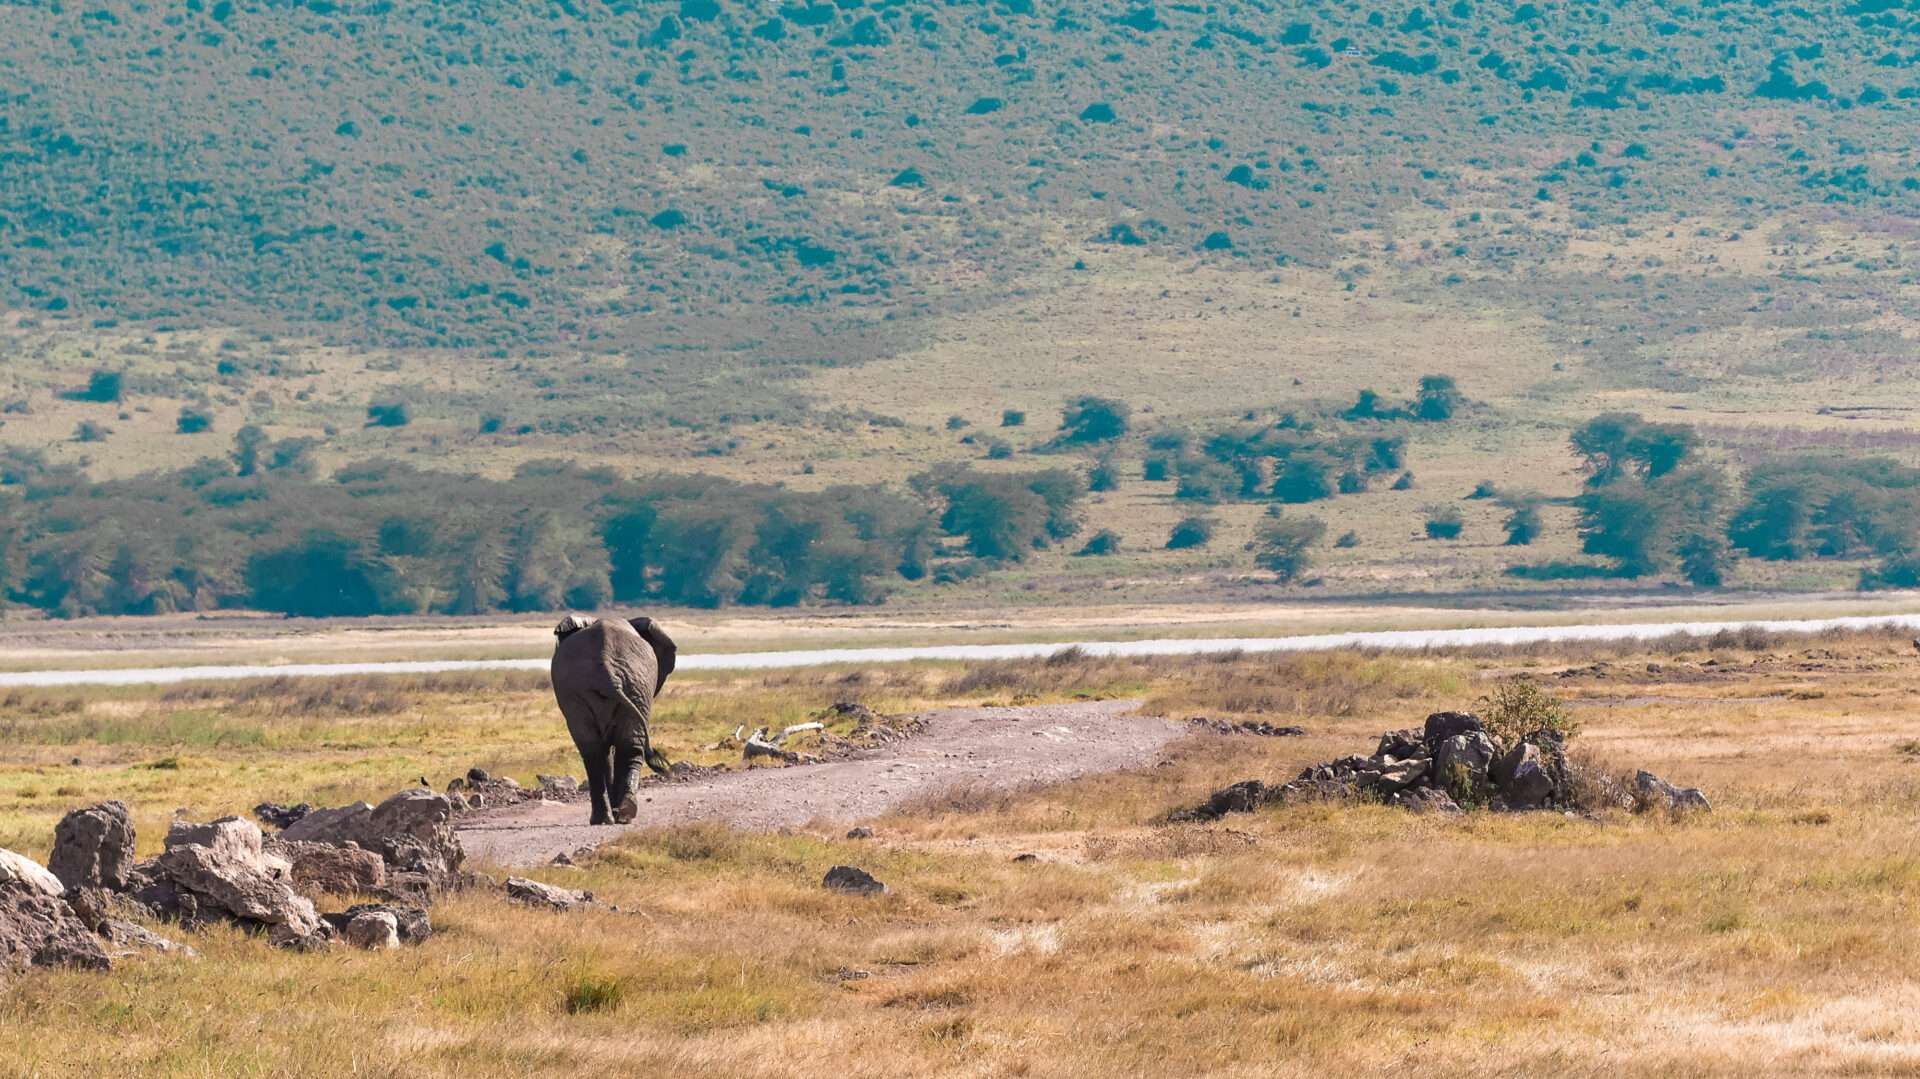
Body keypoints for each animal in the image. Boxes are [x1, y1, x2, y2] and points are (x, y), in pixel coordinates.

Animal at [552, 614, 679, 821]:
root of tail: (607, 670)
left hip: (629, 686)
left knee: (595, 750)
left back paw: (610, 816)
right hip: (632, 686)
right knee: (625, 747)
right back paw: (622, 814)